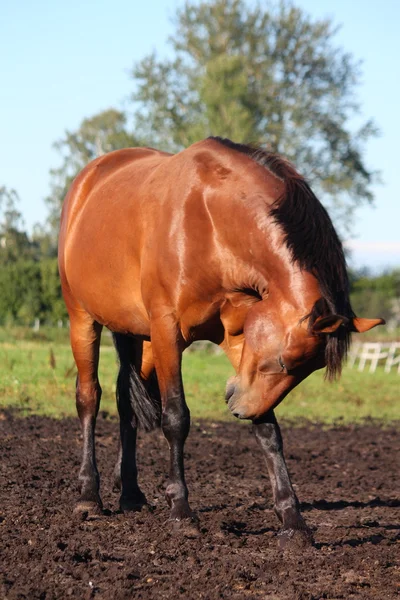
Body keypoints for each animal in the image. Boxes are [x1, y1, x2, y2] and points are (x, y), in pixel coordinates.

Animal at [57, 138, 382, 548]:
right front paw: (181, 512)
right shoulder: (167, 332)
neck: (210, 221)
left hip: (137, 336)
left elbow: (268, 432)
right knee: (89, 398)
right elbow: (175, 418)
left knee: (126, 401)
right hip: (84, 319)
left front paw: (293, 521)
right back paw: (89, 497)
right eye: (286, 361)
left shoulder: (239, 339)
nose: (238, 408)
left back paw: (130, 494)